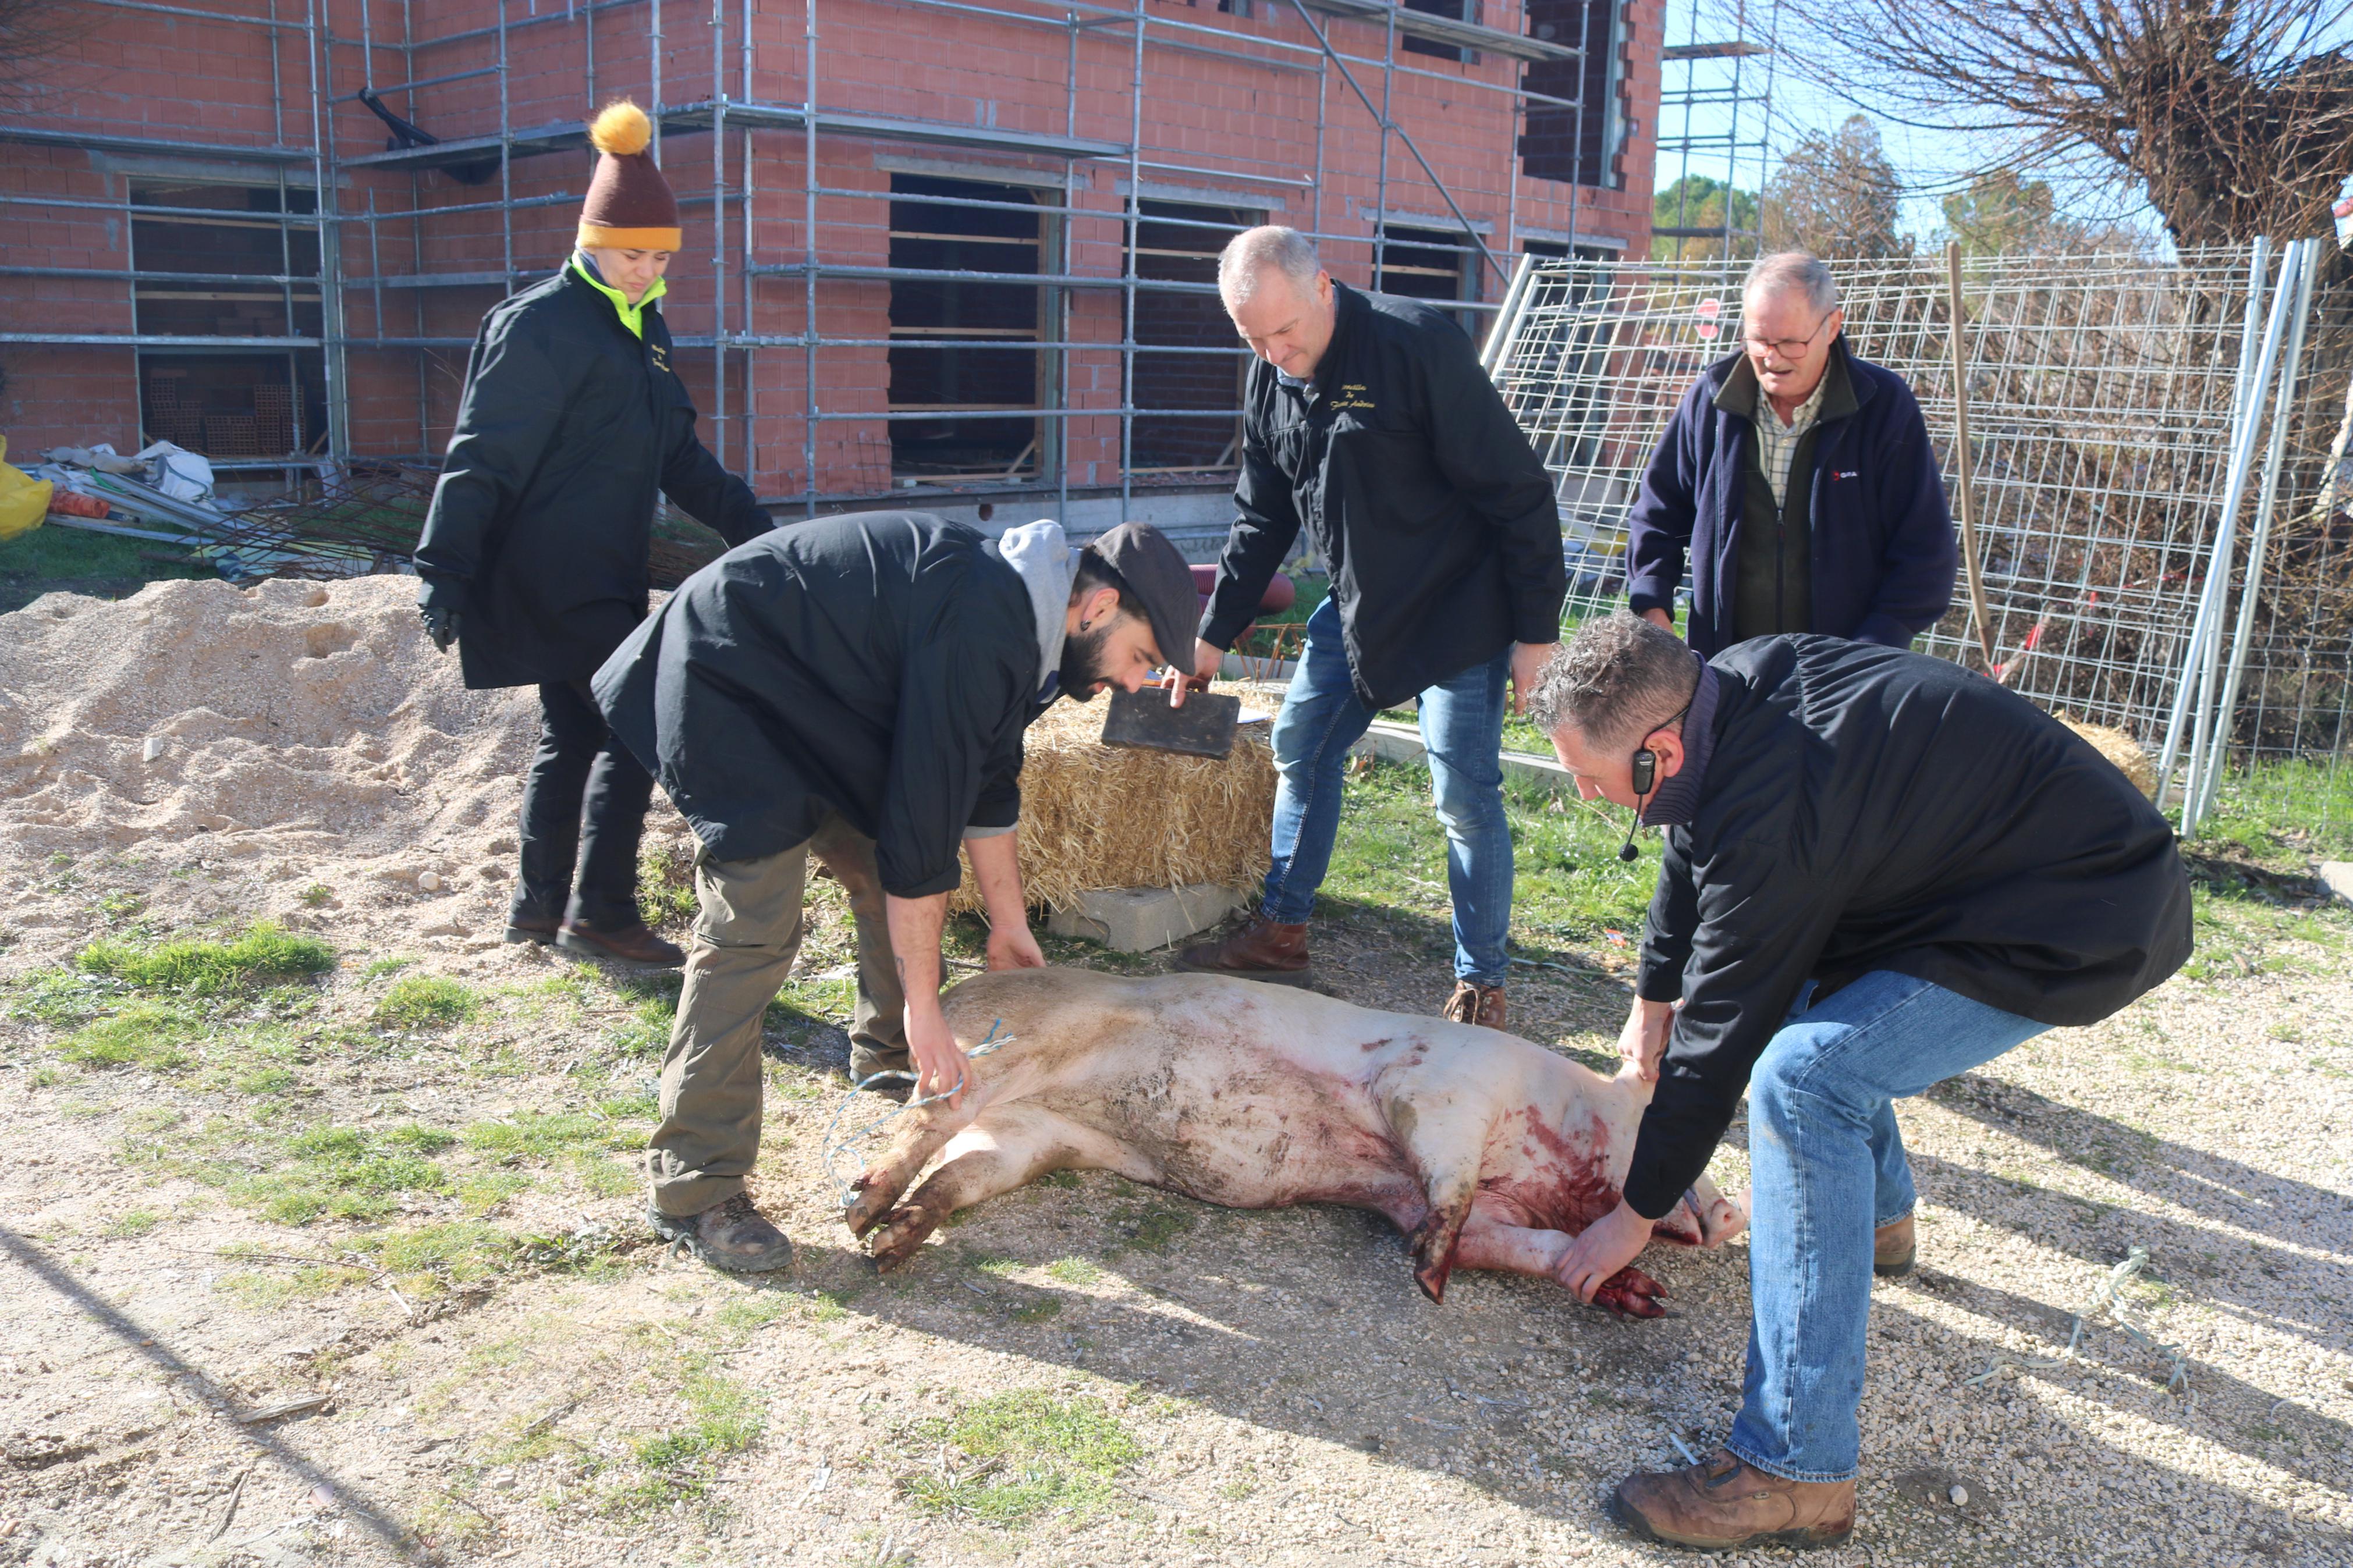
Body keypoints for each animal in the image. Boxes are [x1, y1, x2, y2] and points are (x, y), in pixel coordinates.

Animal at [847, 968, 1750, 1316]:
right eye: (1674, 1130)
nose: (1736, 1212)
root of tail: (956, 993)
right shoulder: (1441, 1091)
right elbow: (1450, 1191)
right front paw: (1431, 1284)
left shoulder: (1433, 1208)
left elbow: (1525, 1247)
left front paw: (1641, 1296)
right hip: (1013, 1050)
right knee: (924, 1118)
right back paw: (858, 1209)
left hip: (1033, 1139)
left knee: (960, 1172)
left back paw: (888, 1244)